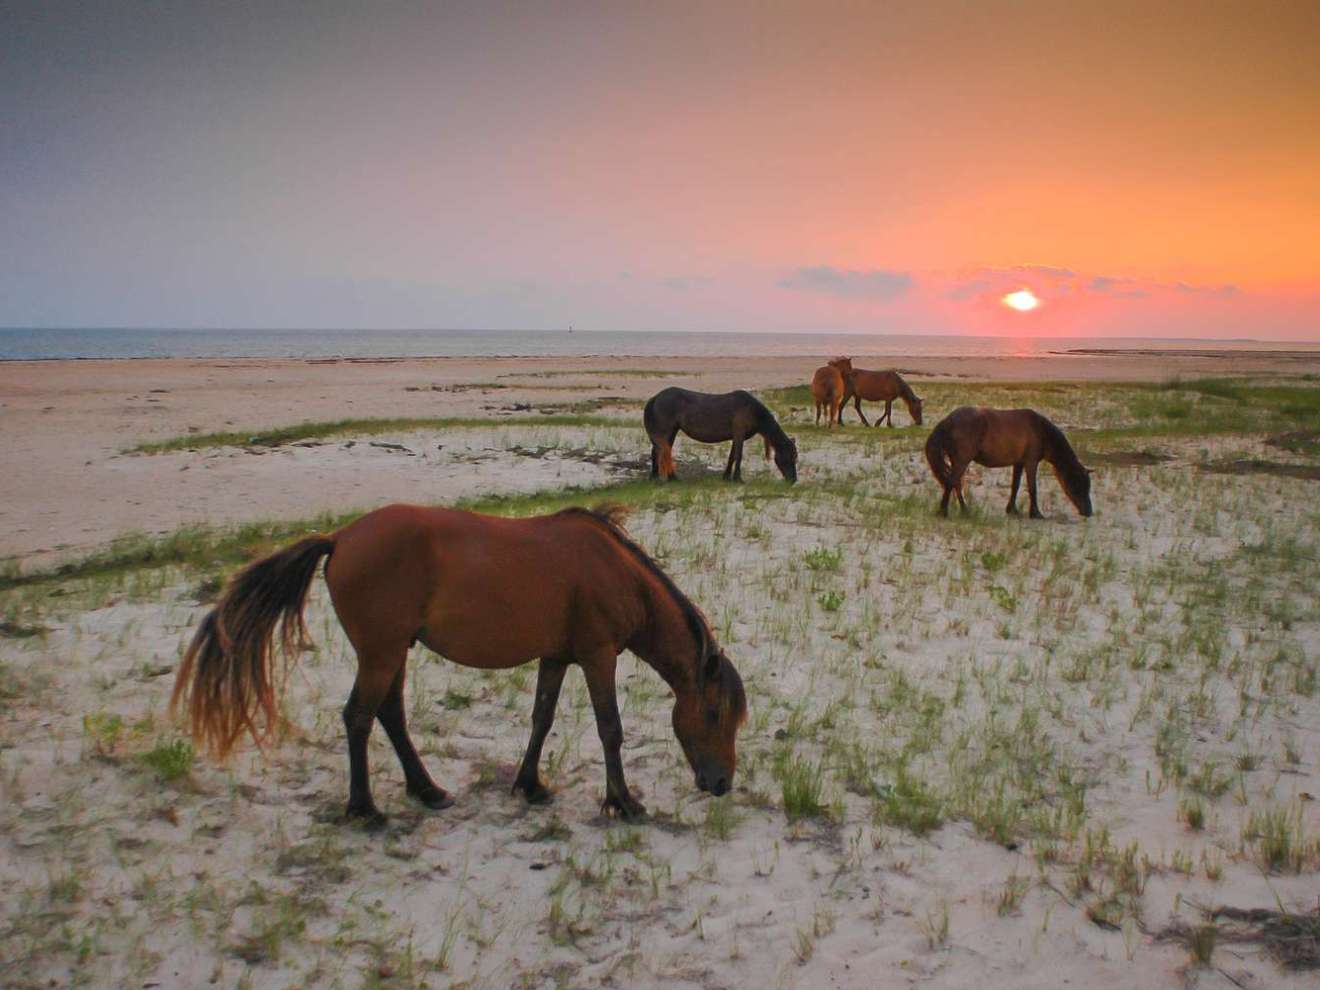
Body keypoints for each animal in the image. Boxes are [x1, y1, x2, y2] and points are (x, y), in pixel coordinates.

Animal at [171, 503, 748, 827]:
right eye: (714, 714)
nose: (722, 783)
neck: (614, 570)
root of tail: (341, 539)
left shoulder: (557, 656)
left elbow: (542, 719)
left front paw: (530, 786)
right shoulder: (596, 655)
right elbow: (610, 729)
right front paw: (622, 802)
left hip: (393, 652)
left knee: (390, 716)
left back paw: (427, 790)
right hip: (381, 653)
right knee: (359, 718)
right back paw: (364, 809)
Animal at [644, 387, 798, 483]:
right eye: (790, 456)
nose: (793, 480)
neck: (752, 410)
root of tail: (656, 397)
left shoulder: (737, 437)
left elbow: (731, 457)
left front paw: (727, 477)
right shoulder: (739, 435)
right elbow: (738, 456)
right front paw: (738, 479)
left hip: (671, 431)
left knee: (660, 451)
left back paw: (660, 477)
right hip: (666, 431)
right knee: (661, 452)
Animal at [924, 407, 1093, 519]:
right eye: (1078, 485)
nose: (1089, 512)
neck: (1041, 431)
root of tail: (948, 420)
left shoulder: (1019, 463)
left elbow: (1015, 486)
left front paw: (1012, 509)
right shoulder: (1031, 462)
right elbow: (1032, 488)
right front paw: (1036, 513)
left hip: (957, 461)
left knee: (956, 484)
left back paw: (964, 510)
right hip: (961, 461)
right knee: (951, 482)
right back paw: (944, 511)